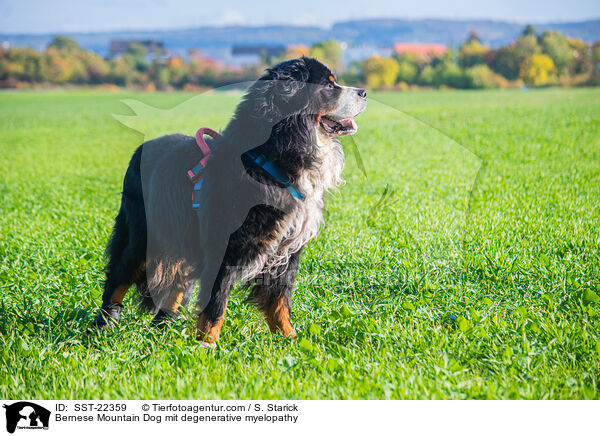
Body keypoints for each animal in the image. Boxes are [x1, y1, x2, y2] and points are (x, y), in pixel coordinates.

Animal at [91, 56, 368, 348]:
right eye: (329, 86)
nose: (364, 92)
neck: (268, 158)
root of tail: (141, 150)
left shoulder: (287, 250)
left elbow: (280, 299)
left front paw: (290, 338)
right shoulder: (225, 247)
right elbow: (216, 302)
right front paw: (208, 344)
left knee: (175, 287)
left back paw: (162, 331)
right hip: (142, 235)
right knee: (117, 279)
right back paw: (102, 327)